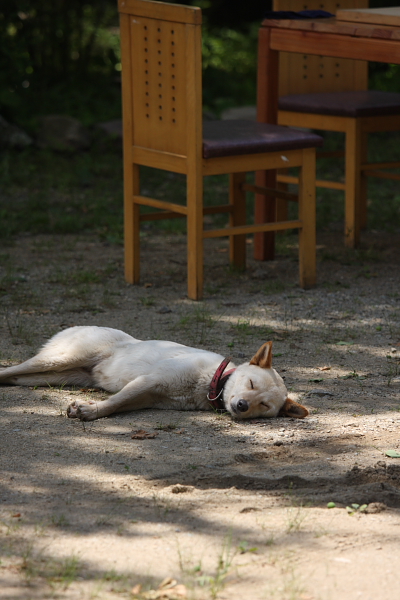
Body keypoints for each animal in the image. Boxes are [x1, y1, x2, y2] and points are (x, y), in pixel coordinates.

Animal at [0, 326, 310, 420]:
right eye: (251, 383)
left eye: (264, 405)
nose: (242, 405)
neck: (210, 380)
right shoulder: (148, 381)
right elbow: (115, 401)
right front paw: (88, 411)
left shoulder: (147, 396)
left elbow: (118, 405)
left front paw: (91, 411)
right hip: (60, 359)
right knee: (11, 369)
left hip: (60, 375)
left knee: (15, 378)